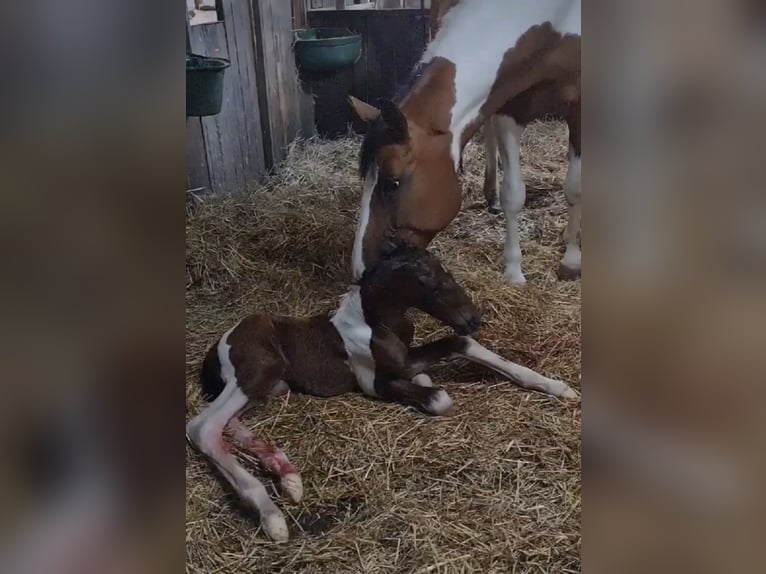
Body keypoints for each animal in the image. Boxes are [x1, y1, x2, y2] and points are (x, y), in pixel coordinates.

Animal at [350, 0, 584, 286]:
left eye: (392, 183)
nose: (360, 270)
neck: (554, 25)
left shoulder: (581, 108)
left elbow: (574, 189)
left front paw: (571, 261)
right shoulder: (509, 108)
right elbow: (513, 194)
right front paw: (514, 271)